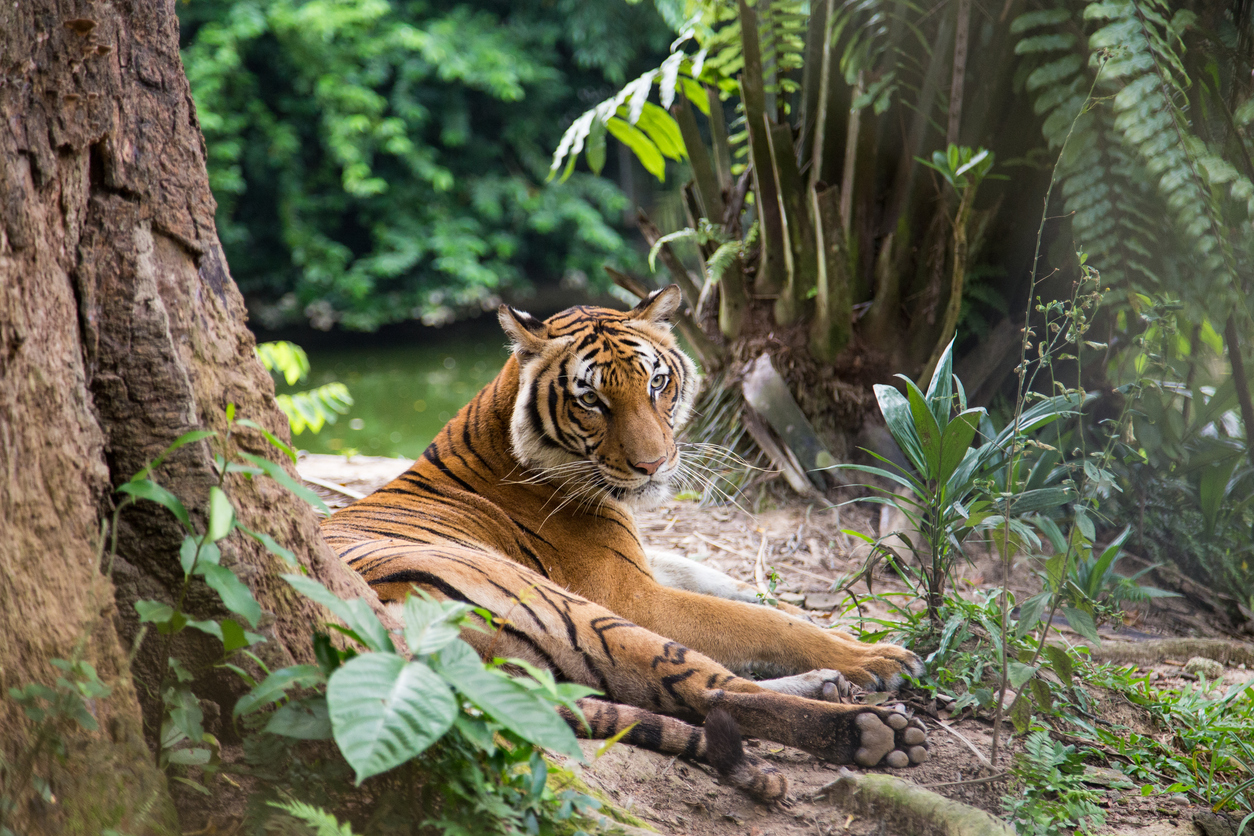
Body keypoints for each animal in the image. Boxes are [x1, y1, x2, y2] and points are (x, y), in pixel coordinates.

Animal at [321, 286, 929, 802]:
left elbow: (720, 580)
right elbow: (762, 623)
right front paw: (869, 653)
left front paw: (806, 614)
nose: (654, 464)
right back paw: (874, 731)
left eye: (657, 383)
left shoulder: (643, 558)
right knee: (713, 694)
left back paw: (829, 689)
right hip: (574, 613)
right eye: (591, 400)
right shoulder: (630, 593)